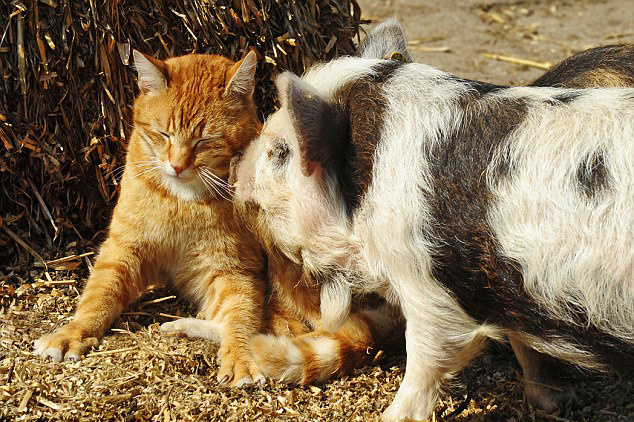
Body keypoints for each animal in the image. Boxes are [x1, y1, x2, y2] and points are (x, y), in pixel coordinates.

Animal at [32, 49, 266, 386]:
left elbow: (240, 317)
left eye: (205, 141)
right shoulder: (124, 250)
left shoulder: (233, 269)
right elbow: (98, 296)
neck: (182, 200)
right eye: (163, 134)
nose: (178, 166)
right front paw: (73, 333)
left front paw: (241, 357)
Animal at [230, 20, 632, 422]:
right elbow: (525, 343)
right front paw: (554, 401)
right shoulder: (499, 281)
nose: (236, 168)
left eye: (279, 152)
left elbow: (426, 358)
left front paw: (390, 416)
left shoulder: (426, 284)